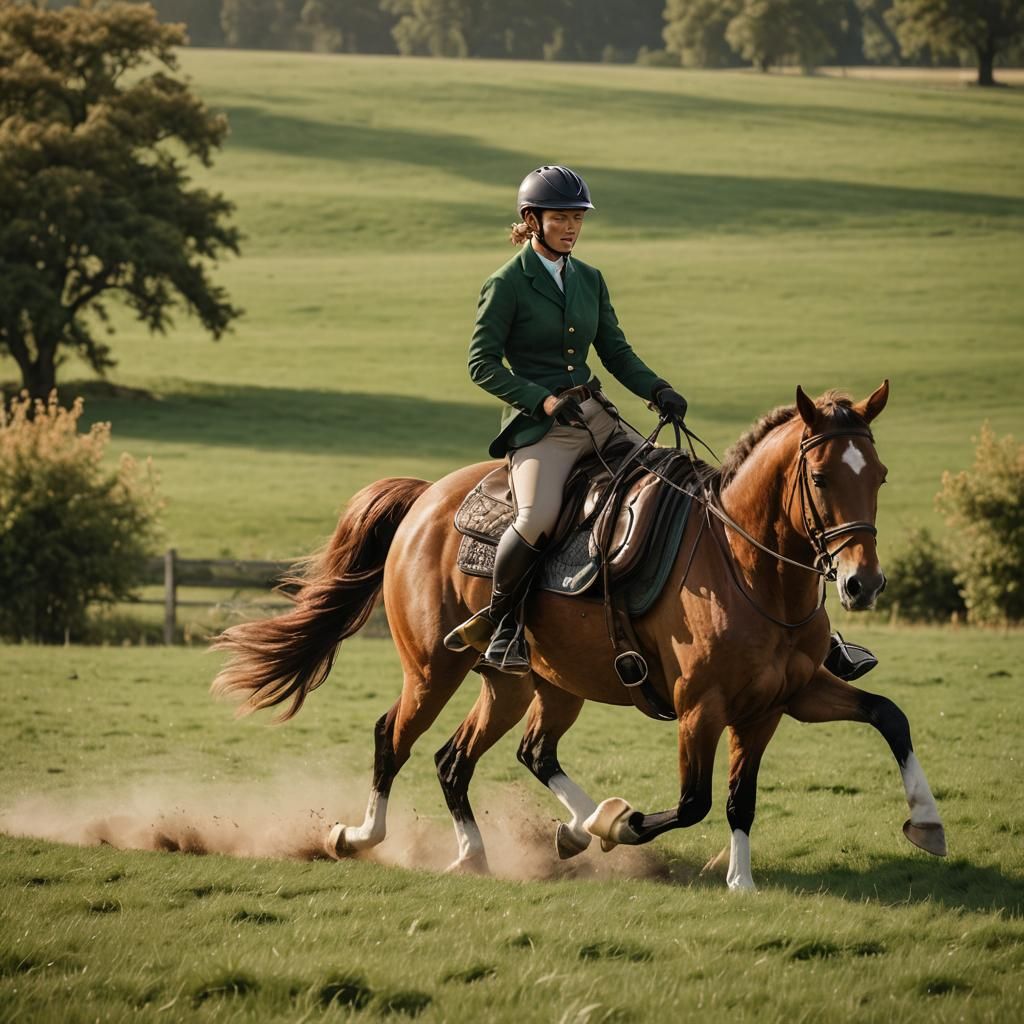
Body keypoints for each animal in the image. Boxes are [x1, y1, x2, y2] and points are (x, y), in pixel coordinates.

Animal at [210, 381, 947, 889]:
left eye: (879, 476)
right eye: (820, 477)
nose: (862, 584)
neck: (750, 570)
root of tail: (426, 498)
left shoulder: (779, 701)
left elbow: (877, 723)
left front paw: (920, 823)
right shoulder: (701, 707)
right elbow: (694, 801)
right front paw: (622, 825)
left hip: (528, 684)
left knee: (487, 756)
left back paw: (503, 847)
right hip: (433, 670)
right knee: (395, 737)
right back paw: (364, 836)